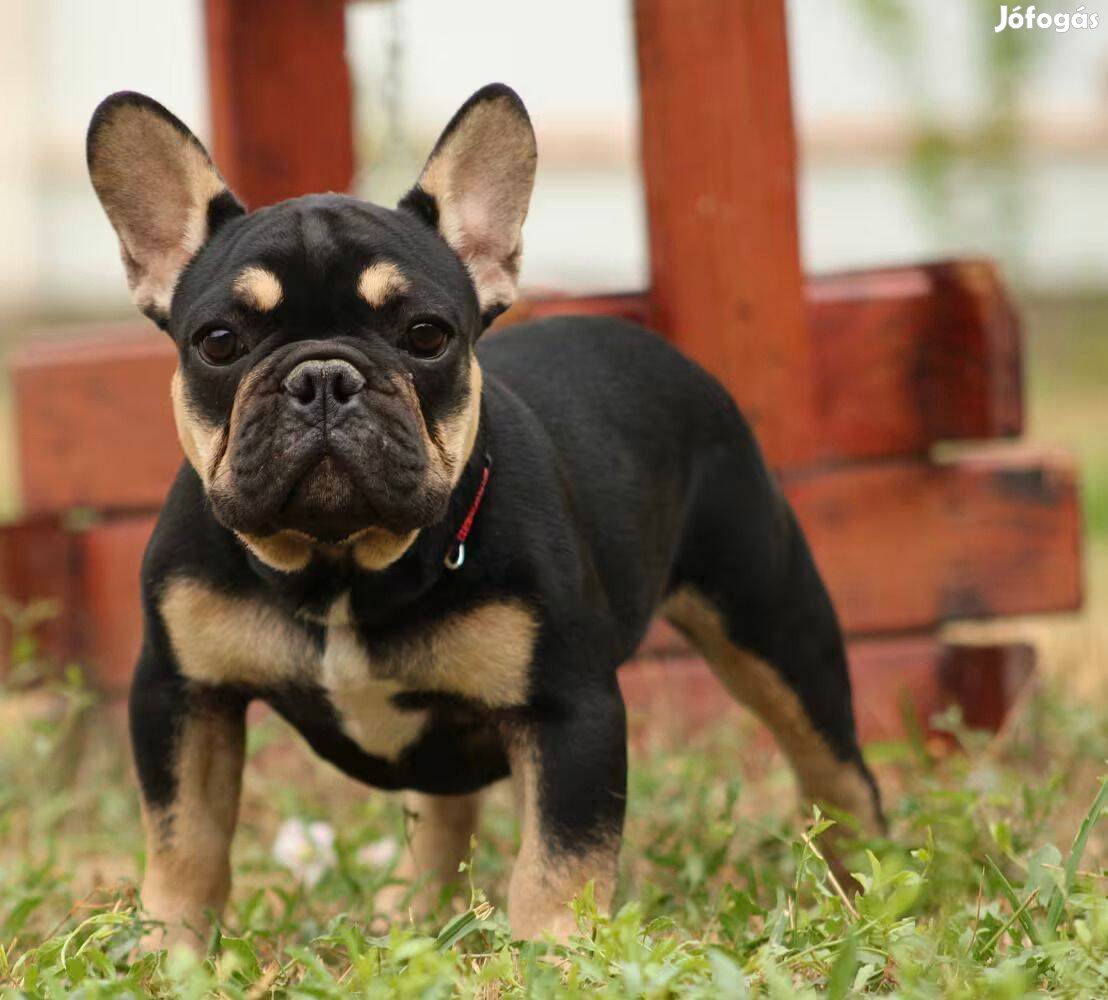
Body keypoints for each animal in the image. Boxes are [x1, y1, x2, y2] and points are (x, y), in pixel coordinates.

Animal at [84, 84, 881, 947]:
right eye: (220, 342)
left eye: (426, 335)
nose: (324, 376)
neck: (342, 569)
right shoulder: (181, 695)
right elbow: (186, 842)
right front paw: (169, 949)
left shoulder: (570, 711)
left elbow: (559, 861)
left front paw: (554, 953)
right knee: (441, 812)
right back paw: (415, 915)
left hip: (770, 624)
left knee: (836, 769)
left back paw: (865, 888)